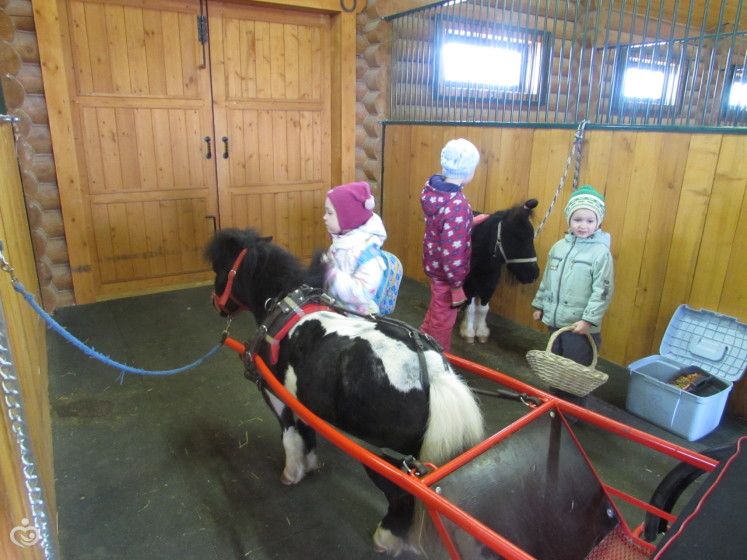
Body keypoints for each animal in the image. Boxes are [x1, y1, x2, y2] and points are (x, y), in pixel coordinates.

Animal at [205, 228, 486, 556]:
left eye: (221, 268)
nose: (216, 303)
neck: (283, 307)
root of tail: (432, 372)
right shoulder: (304, 402)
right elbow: (307, 434)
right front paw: (310, 465)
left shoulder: (278, 400)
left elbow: (290, 437)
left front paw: (291, 473)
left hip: (387, 459)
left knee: (401, 497)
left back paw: (385, 538)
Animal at [458, 199, 540, 344]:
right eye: (516, 236)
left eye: (531, 235)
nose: (533, 274)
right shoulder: (469, 285)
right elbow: (471, 309)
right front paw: (468, 332)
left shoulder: (490, 286)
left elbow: (483, 309)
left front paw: (481, 332)